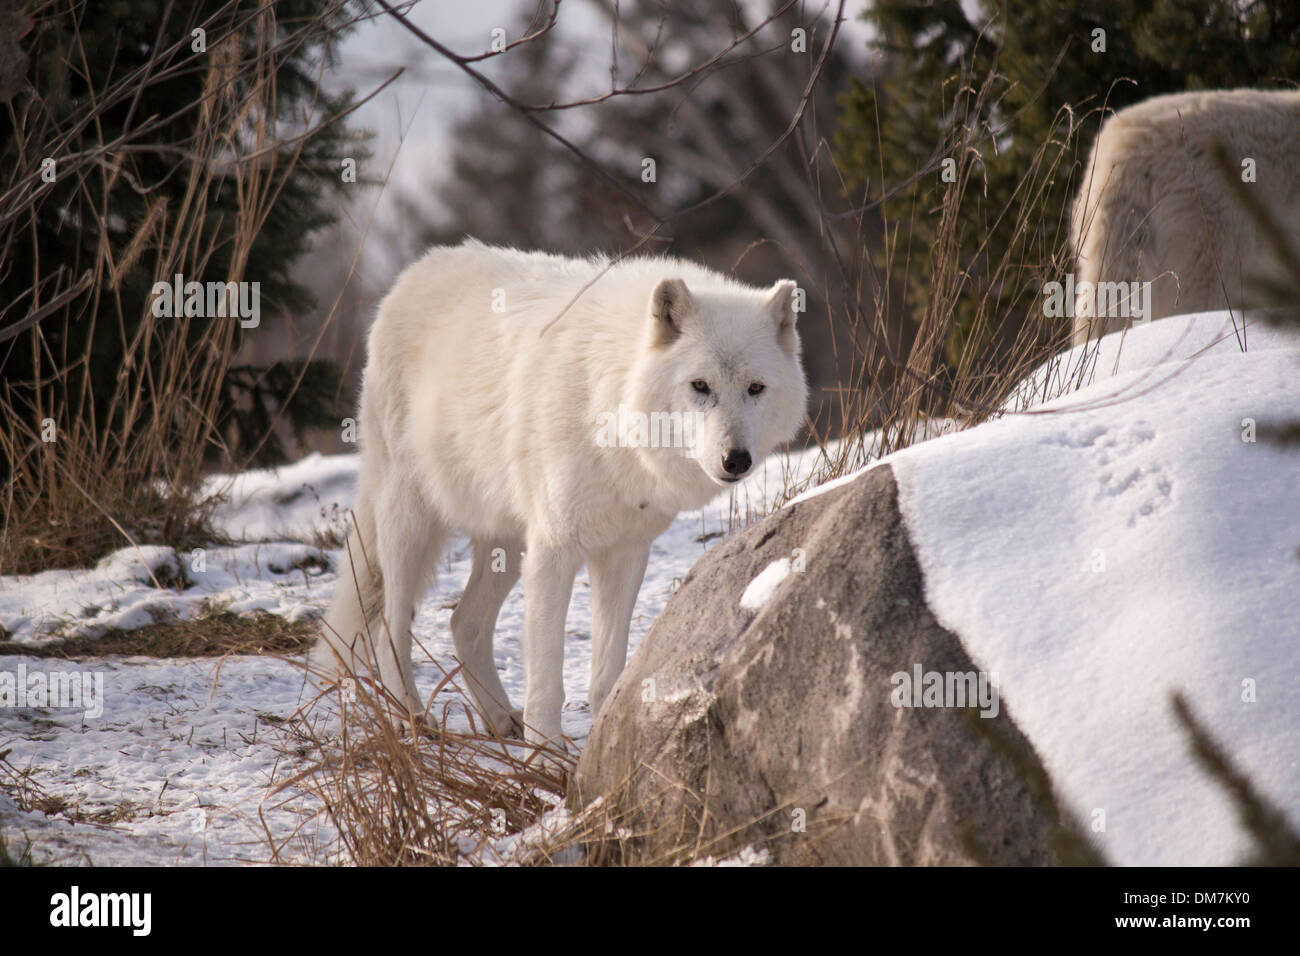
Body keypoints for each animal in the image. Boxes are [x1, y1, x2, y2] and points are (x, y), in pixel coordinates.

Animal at [309, 239, 806, 749]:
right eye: (700, 386)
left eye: (755, 388)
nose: (736, 460)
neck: (608, 409)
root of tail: (419, 269)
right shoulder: (554, 549)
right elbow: (547, 679)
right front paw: (545, 754)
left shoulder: (626, 552)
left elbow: (607, 673)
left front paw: (605, 739)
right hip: (412, 523)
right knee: (391, 626)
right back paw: (409, 717)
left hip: (506, 542)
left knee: (464, 623)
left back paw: (499, 718)